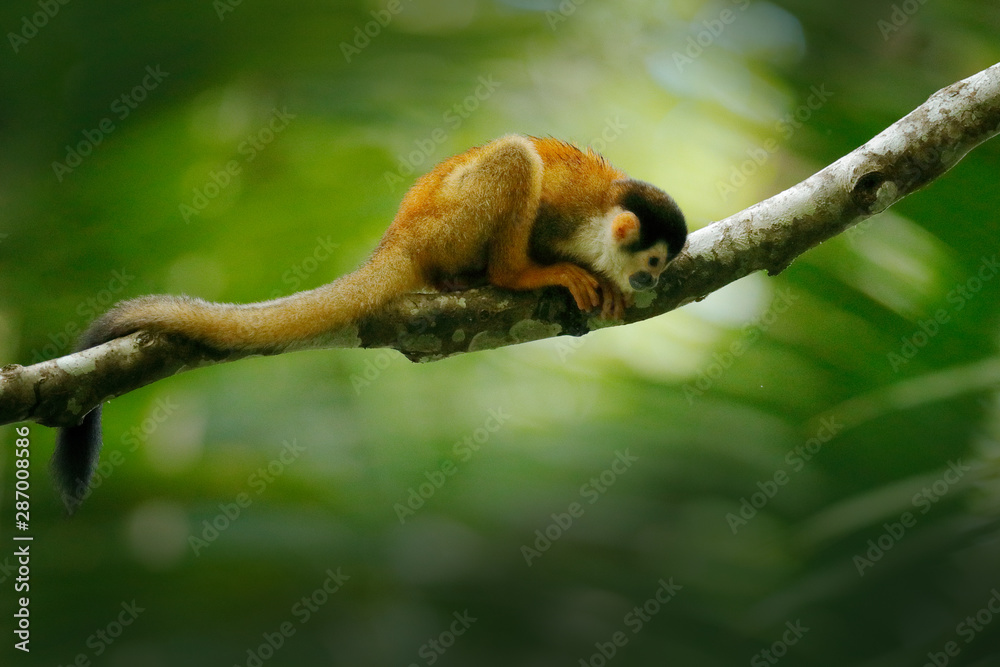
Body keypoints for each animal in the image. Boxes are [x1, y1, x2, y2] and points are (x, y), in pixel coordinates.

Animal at [51, 134, 686, 511]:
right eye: (654, 261)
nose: (650, 281)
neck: (596, 228)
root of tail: (398, 238)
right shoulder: (567, 213)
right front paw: (544, 272)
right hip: (447, 223)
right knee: (513, 158)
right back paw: (509, 274)